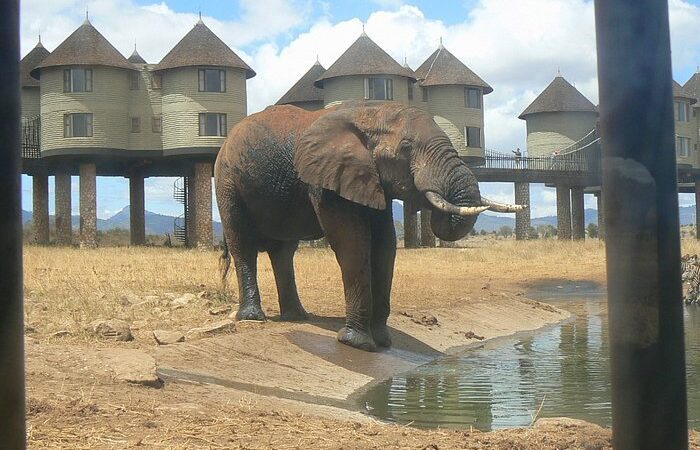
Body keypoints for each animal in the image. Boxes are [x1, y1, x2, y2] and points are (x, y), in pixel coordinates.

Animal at [214, 101, 524, 352]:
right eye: (406, 147)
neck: (369, 112)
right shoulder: (326, 179)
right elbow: (352, 242)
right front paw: (357, 344)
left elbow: (385, 244)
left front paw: (383, 342)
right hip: (227, 180)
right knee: (242, 243)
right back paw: (253, 317)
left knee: (283, 253)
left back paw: (298, 316)